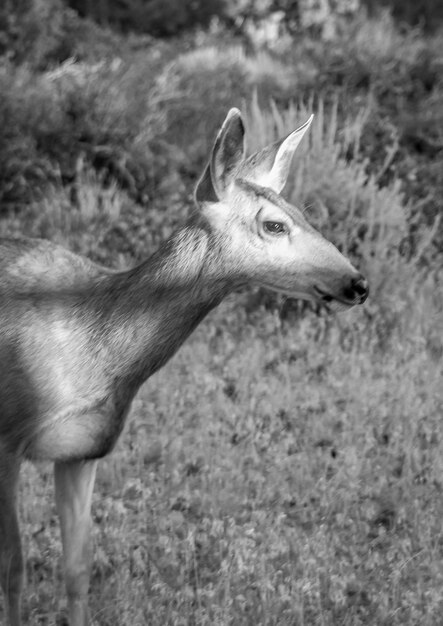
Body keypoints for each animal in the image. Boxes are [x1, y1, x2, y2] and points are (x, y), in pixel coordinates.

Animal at [0, 108, 370, 624]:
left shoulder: (81, 450)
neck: (92, 350)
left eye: (305, 213)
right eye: (275, 225)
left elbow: (77, 567)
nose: (358, 283)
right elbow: (13, 569)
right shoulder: (6, 437)